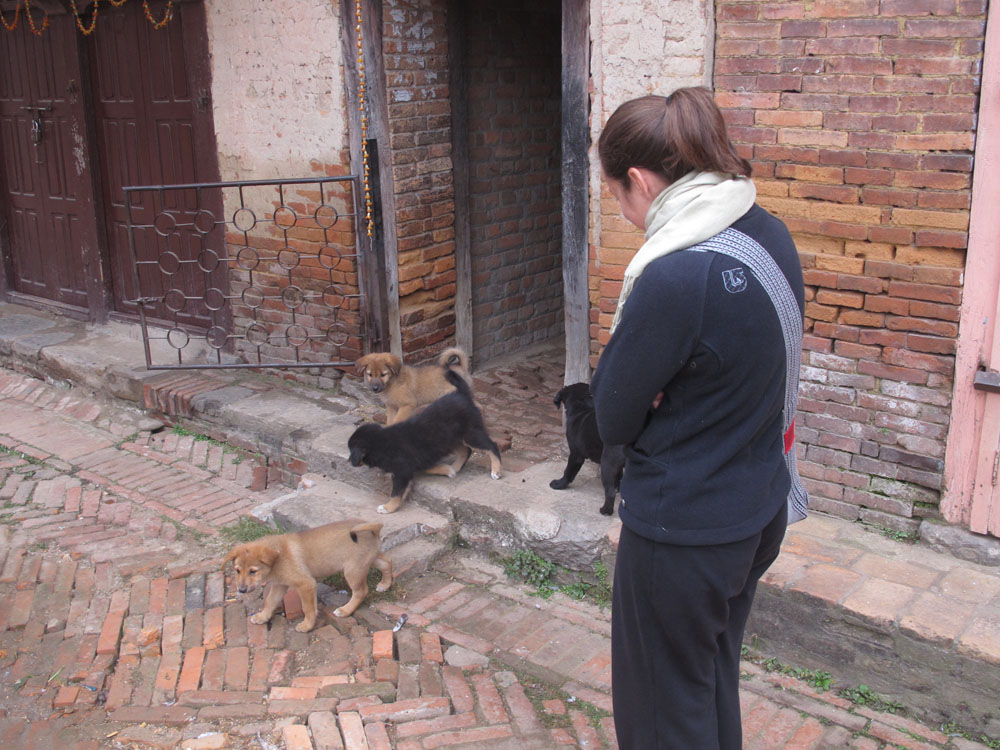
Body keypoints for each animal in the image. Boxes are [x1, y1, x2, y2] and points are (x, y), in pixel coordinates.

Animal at [222, 520, 390, 632]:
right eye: (237, 570)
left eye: (253, 571)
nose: (241, 590)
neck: (278, 557)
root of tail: (372, 528)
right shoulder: (280, 585)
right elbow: (270, 601)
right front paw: (263, 617)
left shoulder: (306, 584)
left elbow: (307, 608)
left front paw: (307, 625)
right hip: (368, 560)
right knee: (387, 562)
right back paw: (384, 584)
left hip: (352, 570)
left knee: (361, 591)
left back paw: (345, 610)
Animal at [346, 372, 500, 516]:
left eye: (351, 450)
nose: (348, 461)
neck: (382, 443)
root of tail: (462, 395)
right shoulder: (417, 461)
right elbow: (426, 468)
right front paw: (446, 470)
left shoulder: (402, 471)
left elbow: (396, 493)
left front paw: (388, 507)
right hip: (451, 437)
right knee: (465, 451)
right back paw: (455, 467)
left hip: (470, 434)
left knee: (492, 446)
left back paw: (496, 471)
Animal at [548, 384, 624, 516]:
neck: (582, 409)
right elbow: (619, 477)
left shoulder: (575, 454)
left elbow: (568, 472)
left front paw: (559, 484)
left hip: (607, 464)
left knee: (609, 492)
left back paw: (605, 510)